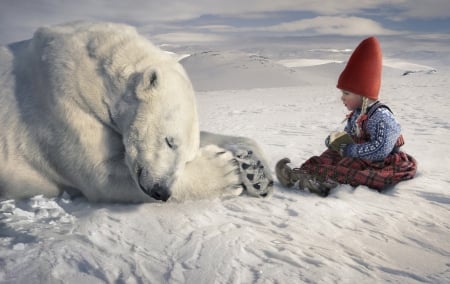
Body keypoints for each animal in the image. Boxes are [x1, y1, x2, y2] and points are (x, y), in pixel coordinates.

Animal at [0, 22, 272, 204]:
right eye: (169, 141)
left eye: (187, 157)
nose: (162, 191)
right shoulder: (61, 101)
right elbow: (103, 174)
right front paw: (227, 171)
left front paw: (255, 170)